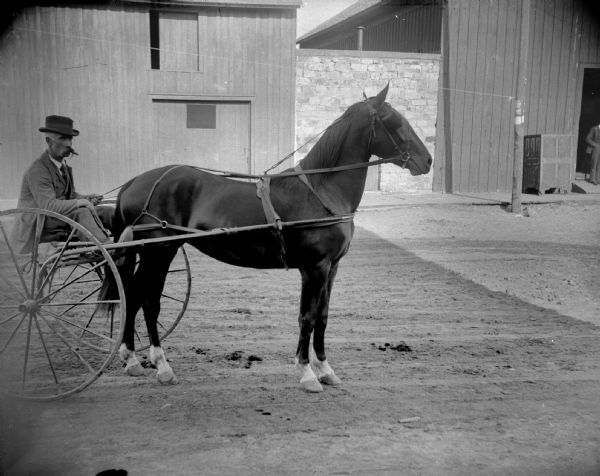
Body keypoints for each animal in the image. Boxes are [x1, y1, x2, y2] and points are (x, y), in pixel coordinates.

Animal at [102, 83, 432, 392]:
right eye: (395, 120)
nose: (426, 160)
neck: (321, 190)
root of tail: (135, 181)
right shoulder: (314, 268)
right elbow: (307, 318)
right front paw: (307, 373)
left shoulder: (332, 268)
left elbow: (323, 316)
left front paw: (325, 369)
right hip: (160, 251)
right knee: (148, 299)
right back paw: (161, 365)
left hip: (153, 252)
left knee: (132, 295)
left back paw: (131, 359)